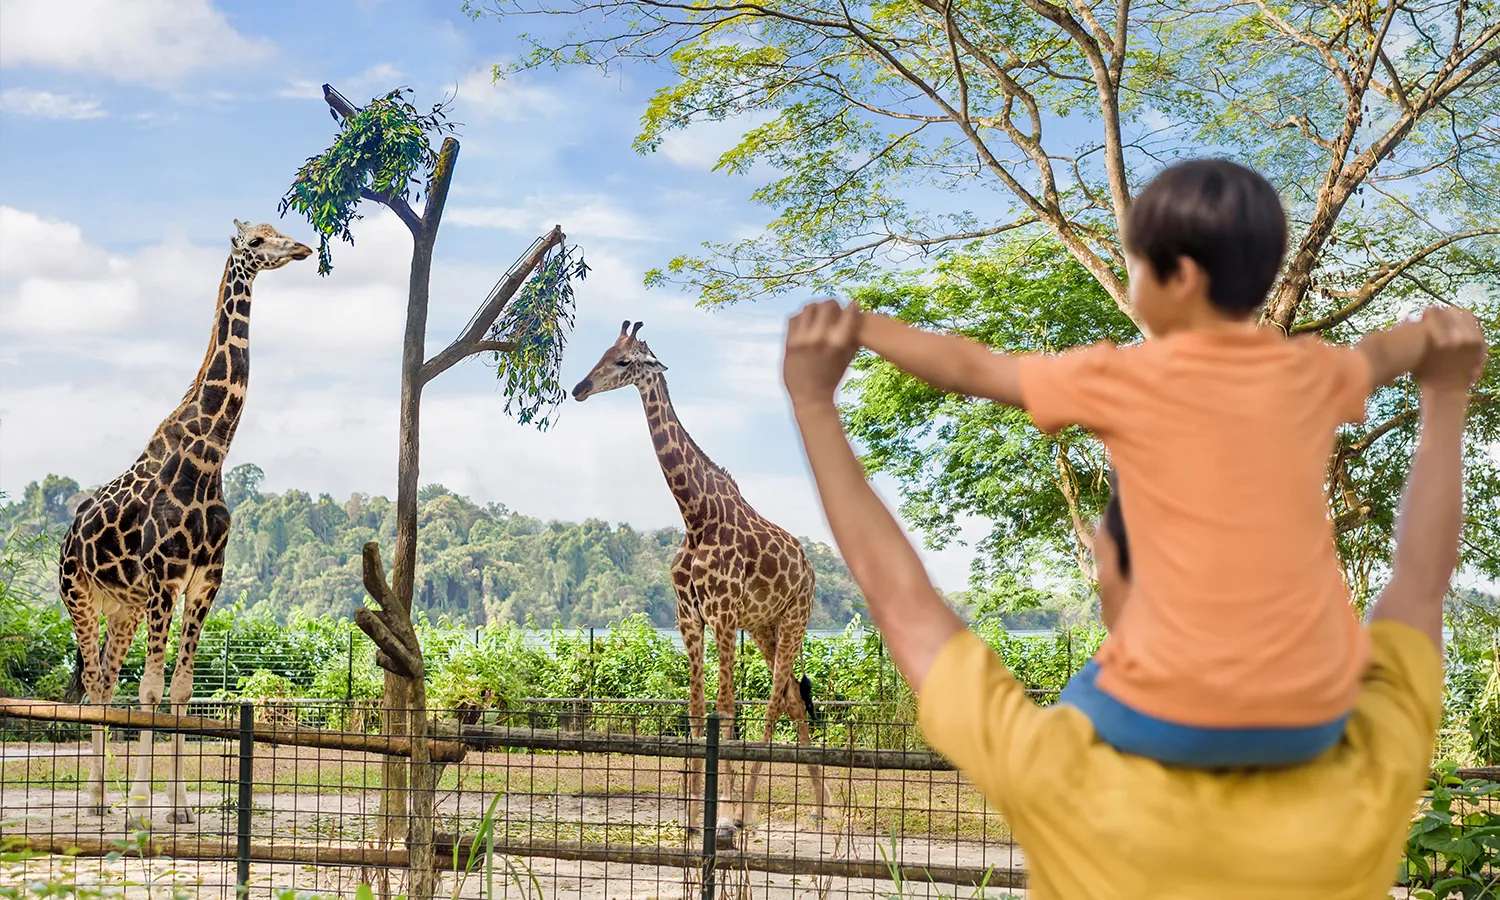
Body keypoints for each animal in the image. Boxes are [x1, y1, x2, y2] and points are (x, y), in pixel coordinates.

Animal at [60, 217, 312, 822]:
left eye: (278, 229)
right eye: (256, 240)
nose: (301, 247)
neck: (208, 458)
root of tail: (67, 536)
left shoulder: (203, 583)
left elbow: (179, 690)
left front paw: (176, 806)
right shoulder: (164, 580)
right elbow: (150, 690)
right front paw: (143, 803)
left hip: (122, 608)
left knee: (105, 681)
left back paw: (102, 798)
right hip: (79, 595)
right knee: (95, 684)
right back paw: (98, 801)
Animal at [573, 319, 834, 846]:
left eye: (624, 361)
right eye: (603, 352)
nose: (579, 388)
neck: (695, 515)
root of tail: (810, 569)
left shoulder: (723, 615)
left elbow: (726, 709)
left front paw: (726, 817)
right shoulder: (688, 618)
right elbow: (695, 712)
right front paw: (693, 819)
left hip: (794, 620)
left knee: (773, 701)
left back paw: (753, 812)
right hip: (766, 627)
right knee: (794, 699)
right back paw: (819, 809)